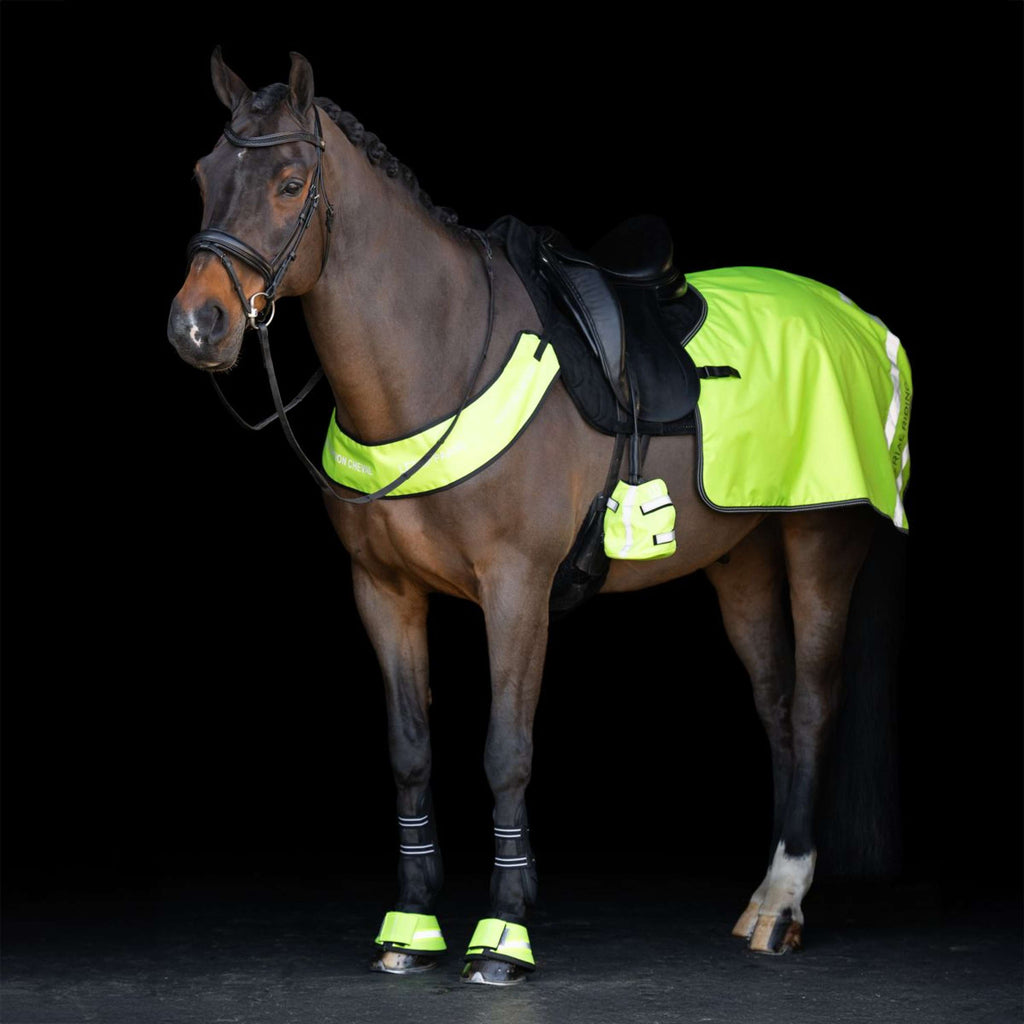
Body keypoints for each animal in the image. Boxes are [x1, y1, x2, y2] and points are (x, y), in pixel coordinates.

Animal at [167, 50, 911, 985]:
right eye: (204, 176)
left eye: (290, 183)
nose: (197, 325)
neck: (442, 356)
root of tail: (861, 321)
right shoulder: (384, 591)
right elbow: (410, 750)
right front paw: (411, 924)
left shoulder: (516, 591)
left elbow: (506, 752)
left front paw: (505, 931)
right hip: (739, 558)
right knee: (775, 704)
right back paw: (770, 890)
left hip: (820, 543)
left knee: (811, 705)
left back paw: (782, 906)